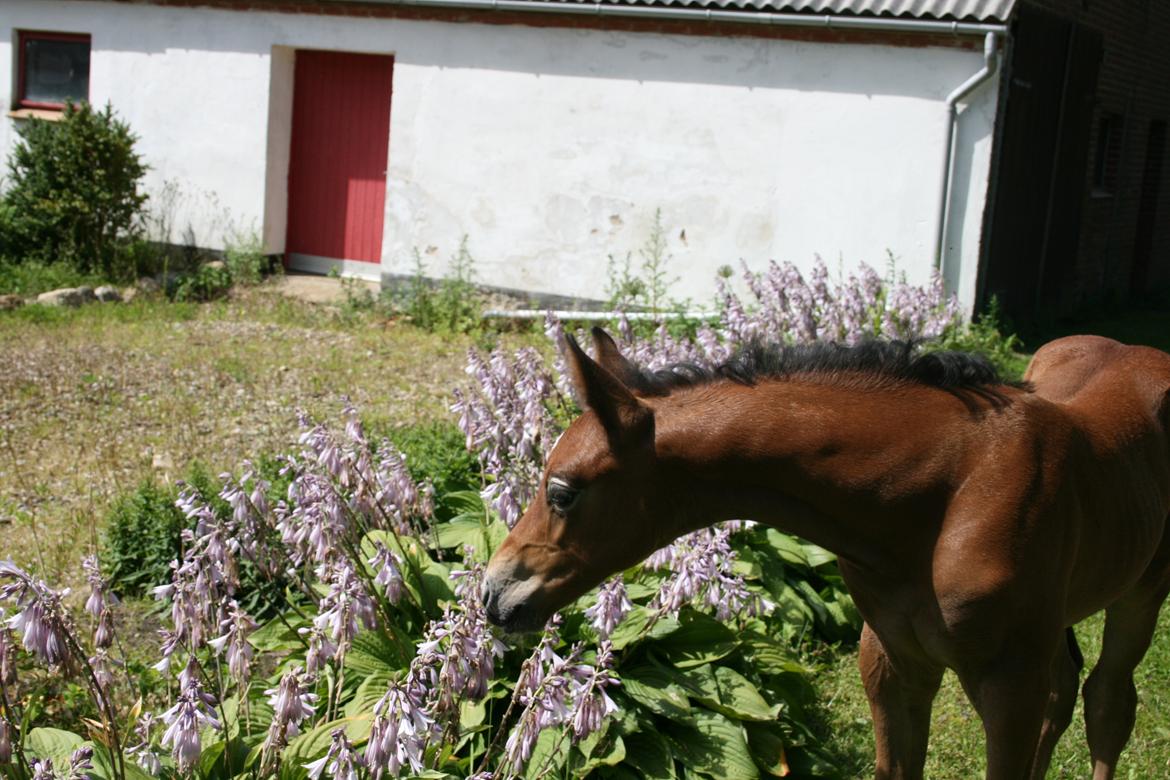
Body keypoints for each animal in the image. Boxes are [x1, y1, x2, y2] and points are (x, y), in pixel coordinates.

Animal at [479, 327, 1170, 776]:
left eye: (563, 492)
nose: (493, 593)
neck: (948, 495)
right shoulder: (892, 661)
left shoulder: (1008, 686)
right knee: (1067, 689)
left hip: (1140, 593)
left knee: (1109, 701)